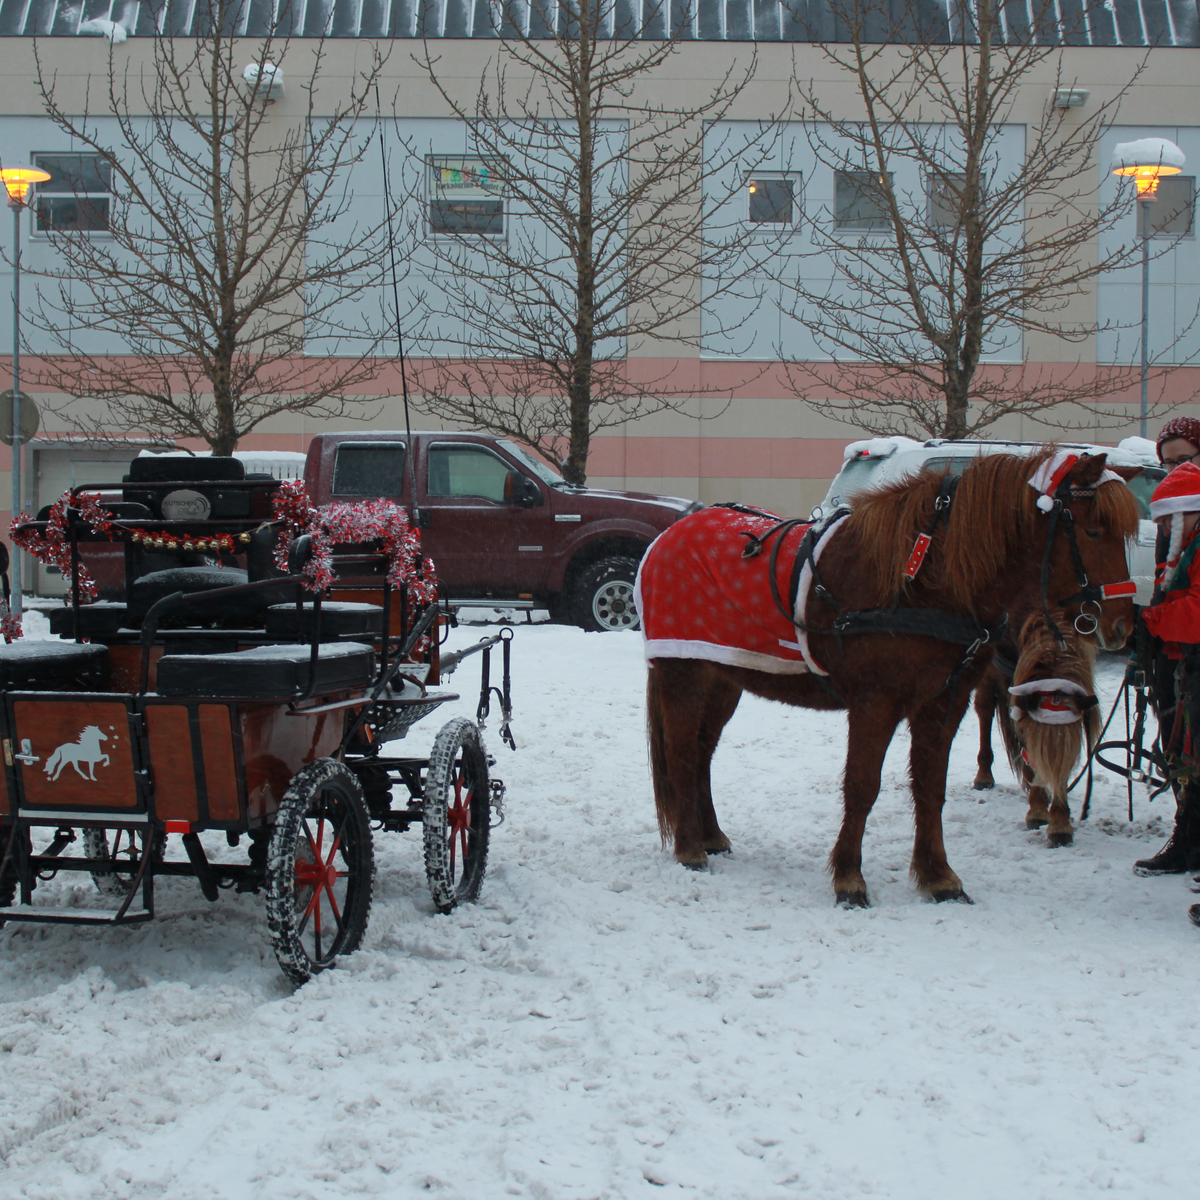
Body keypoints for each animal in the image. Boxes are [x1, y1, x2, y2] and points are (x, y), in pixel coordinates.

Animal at [638, 449, 1138, 906]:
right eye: (1094, 530)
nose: (1121, 625)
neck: (921, 580)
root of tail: (668, 536)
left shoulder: (943, 703)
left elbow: (930, 788)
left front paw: (938, 876)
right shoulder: (874, 702)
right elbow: (862, 786)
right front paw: (849, 878)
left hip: (725, 677)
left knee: (702, 754)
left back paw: (711, 836)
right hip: (683, 674)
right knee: (682, 754)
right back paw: (690, 849)